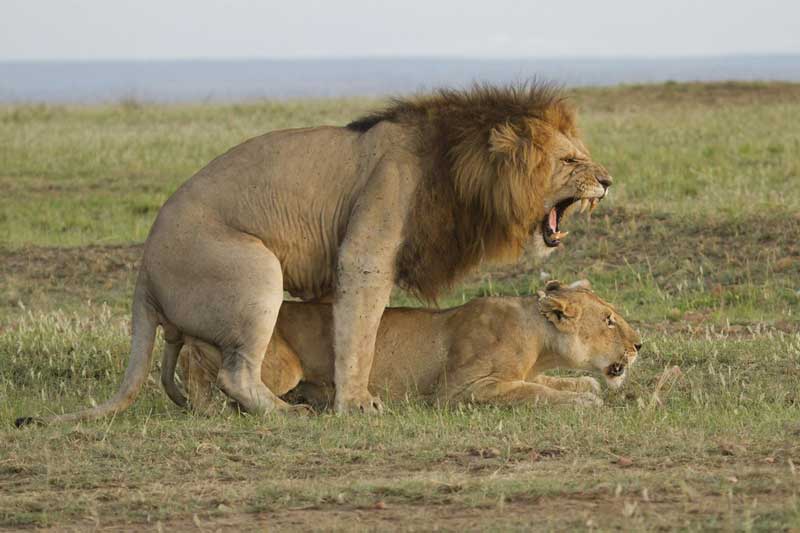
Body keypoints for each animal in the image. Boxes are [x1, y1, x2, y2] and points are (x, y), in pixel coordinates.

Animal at [173, 280, 641, 412]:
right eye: (609, 319)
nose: (640, 344)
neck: (539, 339)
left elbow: (558, 383)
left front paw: (584, 389)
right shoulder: (461, 389)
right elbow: (532, 392)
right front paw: (582, 402)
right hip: (278, 363)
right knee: (210, 368)